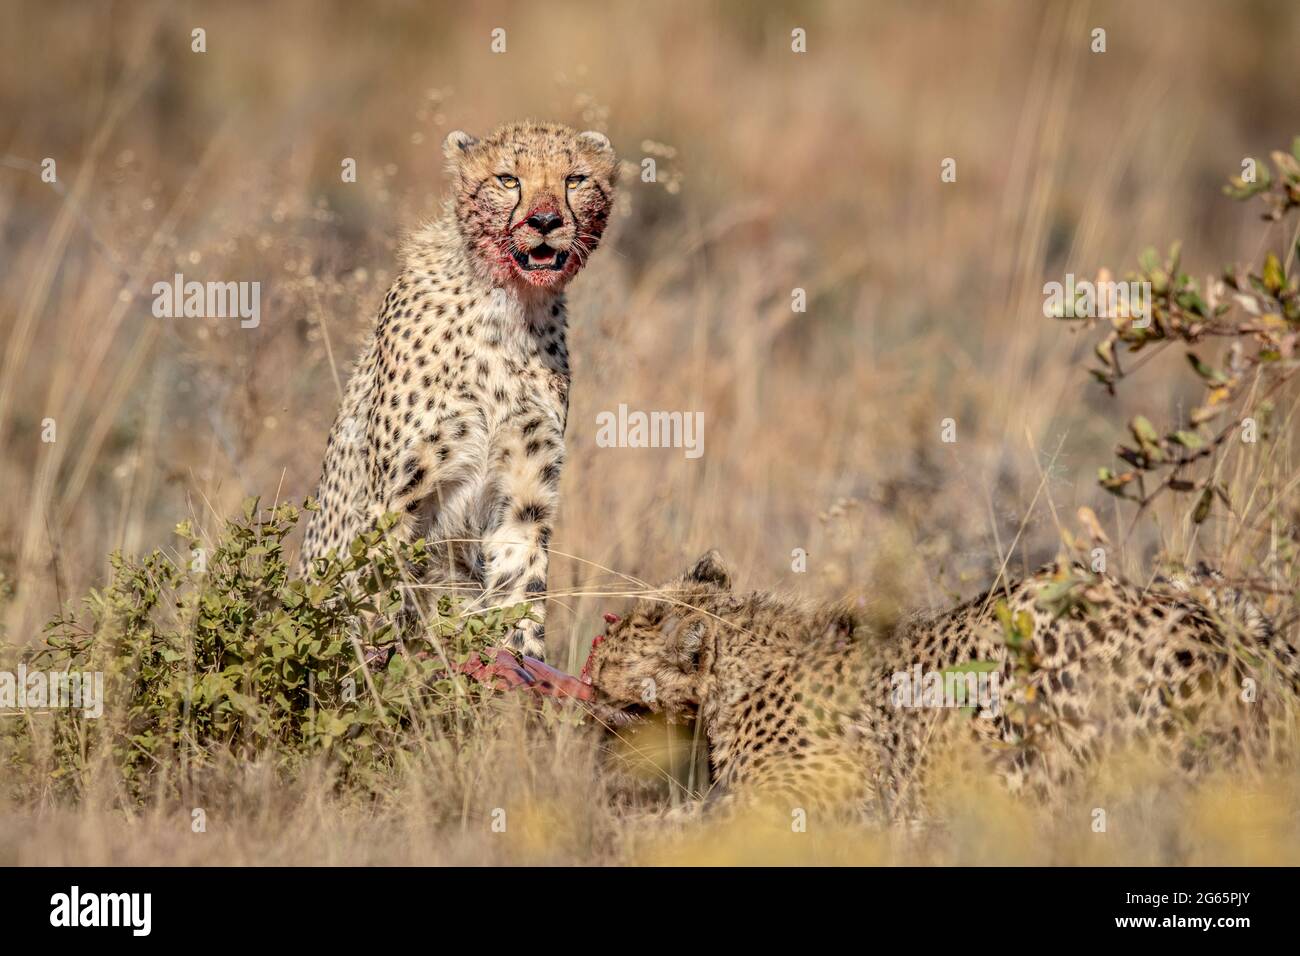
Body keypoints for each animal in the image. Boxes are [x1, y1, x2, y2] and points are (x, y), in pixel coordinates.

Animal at [299, 119, 618, 660]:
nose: (545, 220)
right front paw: (384, 672)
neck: (510, 307)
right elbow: (382, 602)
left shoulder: (524, 496)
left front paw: (523, 662)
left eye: (575, 179)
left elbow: (521, 589)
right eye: (508, 179)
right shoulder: (397, 498)